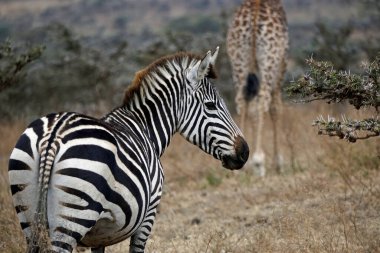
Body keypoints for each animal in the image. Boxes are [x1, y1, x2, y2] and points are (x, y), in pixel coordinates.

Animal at [8, 47, 249, 251]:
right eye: (211, 106)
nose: (244, 152)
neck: (145, 128)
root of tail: (54, 133)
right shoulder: (149, 213)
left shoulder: (99, 235)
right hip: (74, 215)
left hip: (28, 213)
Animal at [226, 0, 288, 177]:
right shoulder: (282, 65)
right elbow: (276, 108)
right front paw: (278, 163)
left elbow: (251, 109)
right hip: (270, 60)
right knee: (263, 102)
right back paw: (259, 161)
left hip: (239, 61)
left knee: (242, 102)